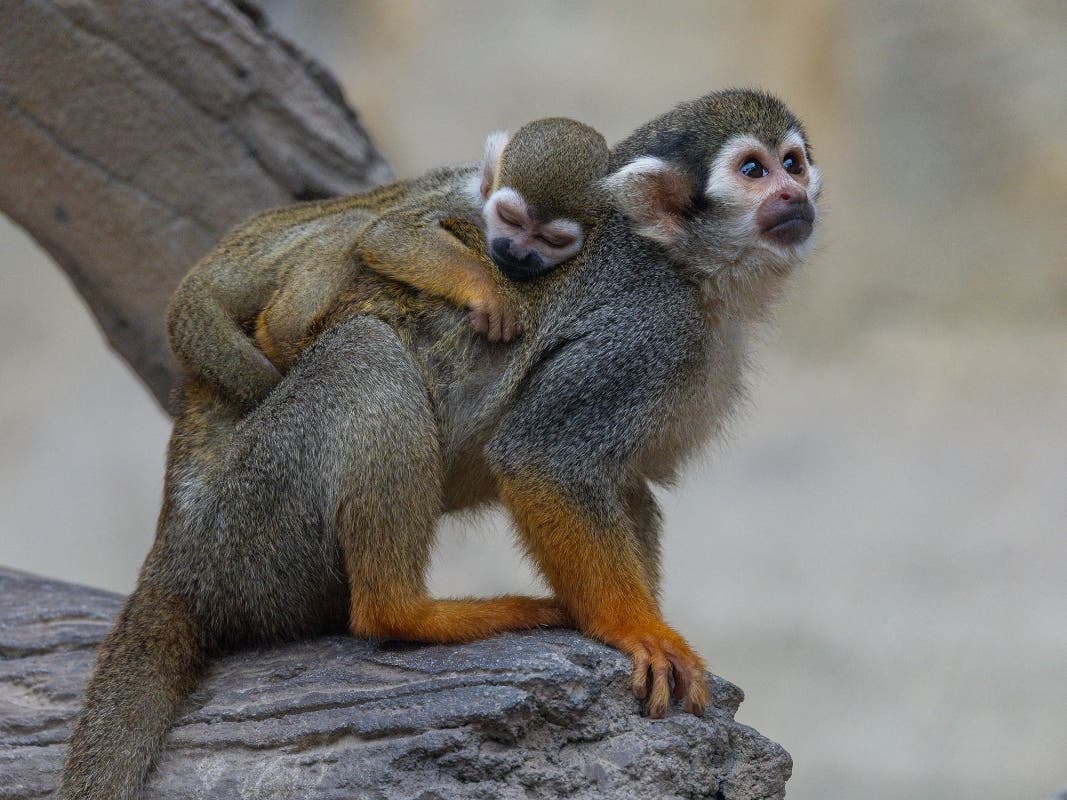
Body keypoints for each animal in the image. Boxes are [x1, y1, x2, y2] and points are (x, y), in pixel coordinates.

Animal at [165, 117, 609, 409]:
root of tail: (210, 267)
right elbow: (387, 235)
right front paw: (487, 290)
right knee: (356, 222)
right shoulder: (459, 200)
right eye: (511, 219)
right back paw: (282, 331)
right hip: (258, 261)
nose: (516, 253)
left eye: (552, 240)